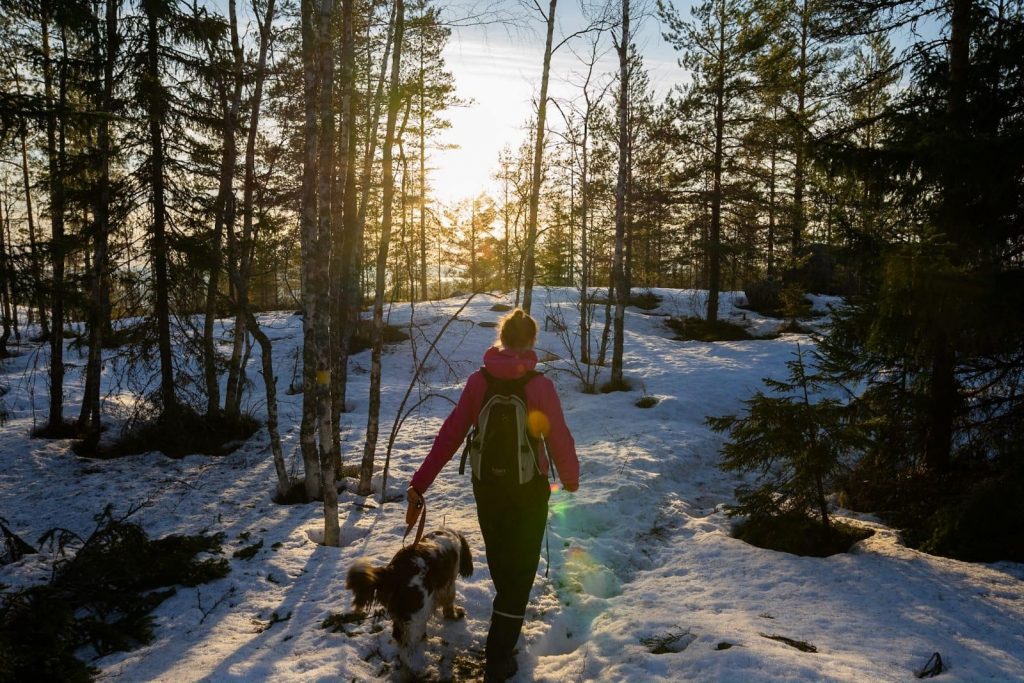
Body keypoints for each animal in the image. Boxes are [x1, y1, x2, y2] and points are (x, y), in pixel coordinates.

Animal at [344, 528, 471, 671]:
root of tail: (393, 572)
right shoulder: (449, 582)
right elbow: (449, 602)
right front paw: (454, 614)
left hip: (402, 614)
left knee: (398, 636)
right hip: (417, 616)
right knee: (406, 651)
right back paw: (417, 668)